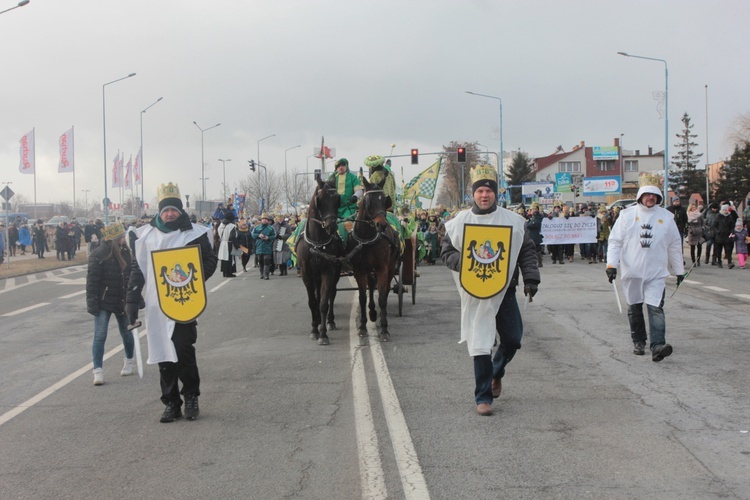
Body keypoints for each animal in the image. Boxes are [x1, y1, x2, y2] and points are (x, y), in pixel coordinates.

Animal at [298, 178, 348, 346]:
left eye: (337, 199)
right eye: (320, 199)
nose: (331, 226)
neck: (317, 243)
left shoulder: (329, 271)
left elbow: (324, 302)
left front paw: (323, 334)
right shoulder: (306, 274)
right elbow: (312, 302)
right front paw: (314, 329)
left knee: (331, 294)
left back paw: (330, 321)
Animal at [348, 176, 402, 344]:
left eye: (384, 200)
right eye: (368, 201)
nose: (382, 224)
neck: (367, 239)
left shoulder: (382, 269)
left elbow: (383, 298)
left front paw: (384, 329)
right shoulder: (359, 270)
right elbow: (362, 298)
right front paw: (362, 327)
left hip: (390, 268)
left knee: (384, 290)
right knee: (371, 288)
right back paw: (372, 312)